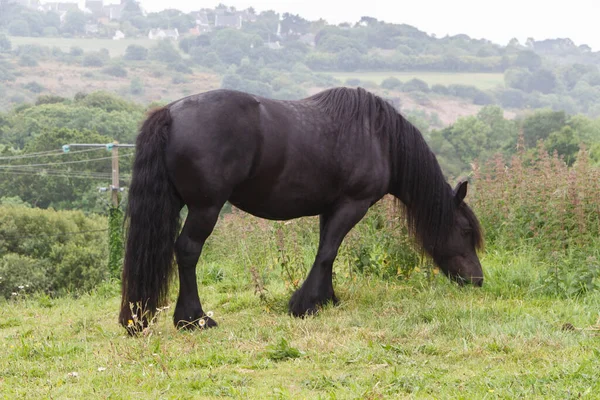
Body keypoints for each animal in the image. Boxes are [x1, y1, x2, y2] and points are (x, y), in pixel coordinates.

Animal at [118, 85, 482, 332]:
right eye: (465, 231)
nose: (477, 280)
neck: (378, 138)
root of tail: (170, 112)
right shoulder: (353, 204)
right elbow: (327, 253)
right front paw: (305, 304)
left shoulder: (332, 208)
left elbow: (327, 253)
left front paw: (326, 298)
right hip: (205, 208)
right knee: (188, 250)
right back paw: (193, 319)